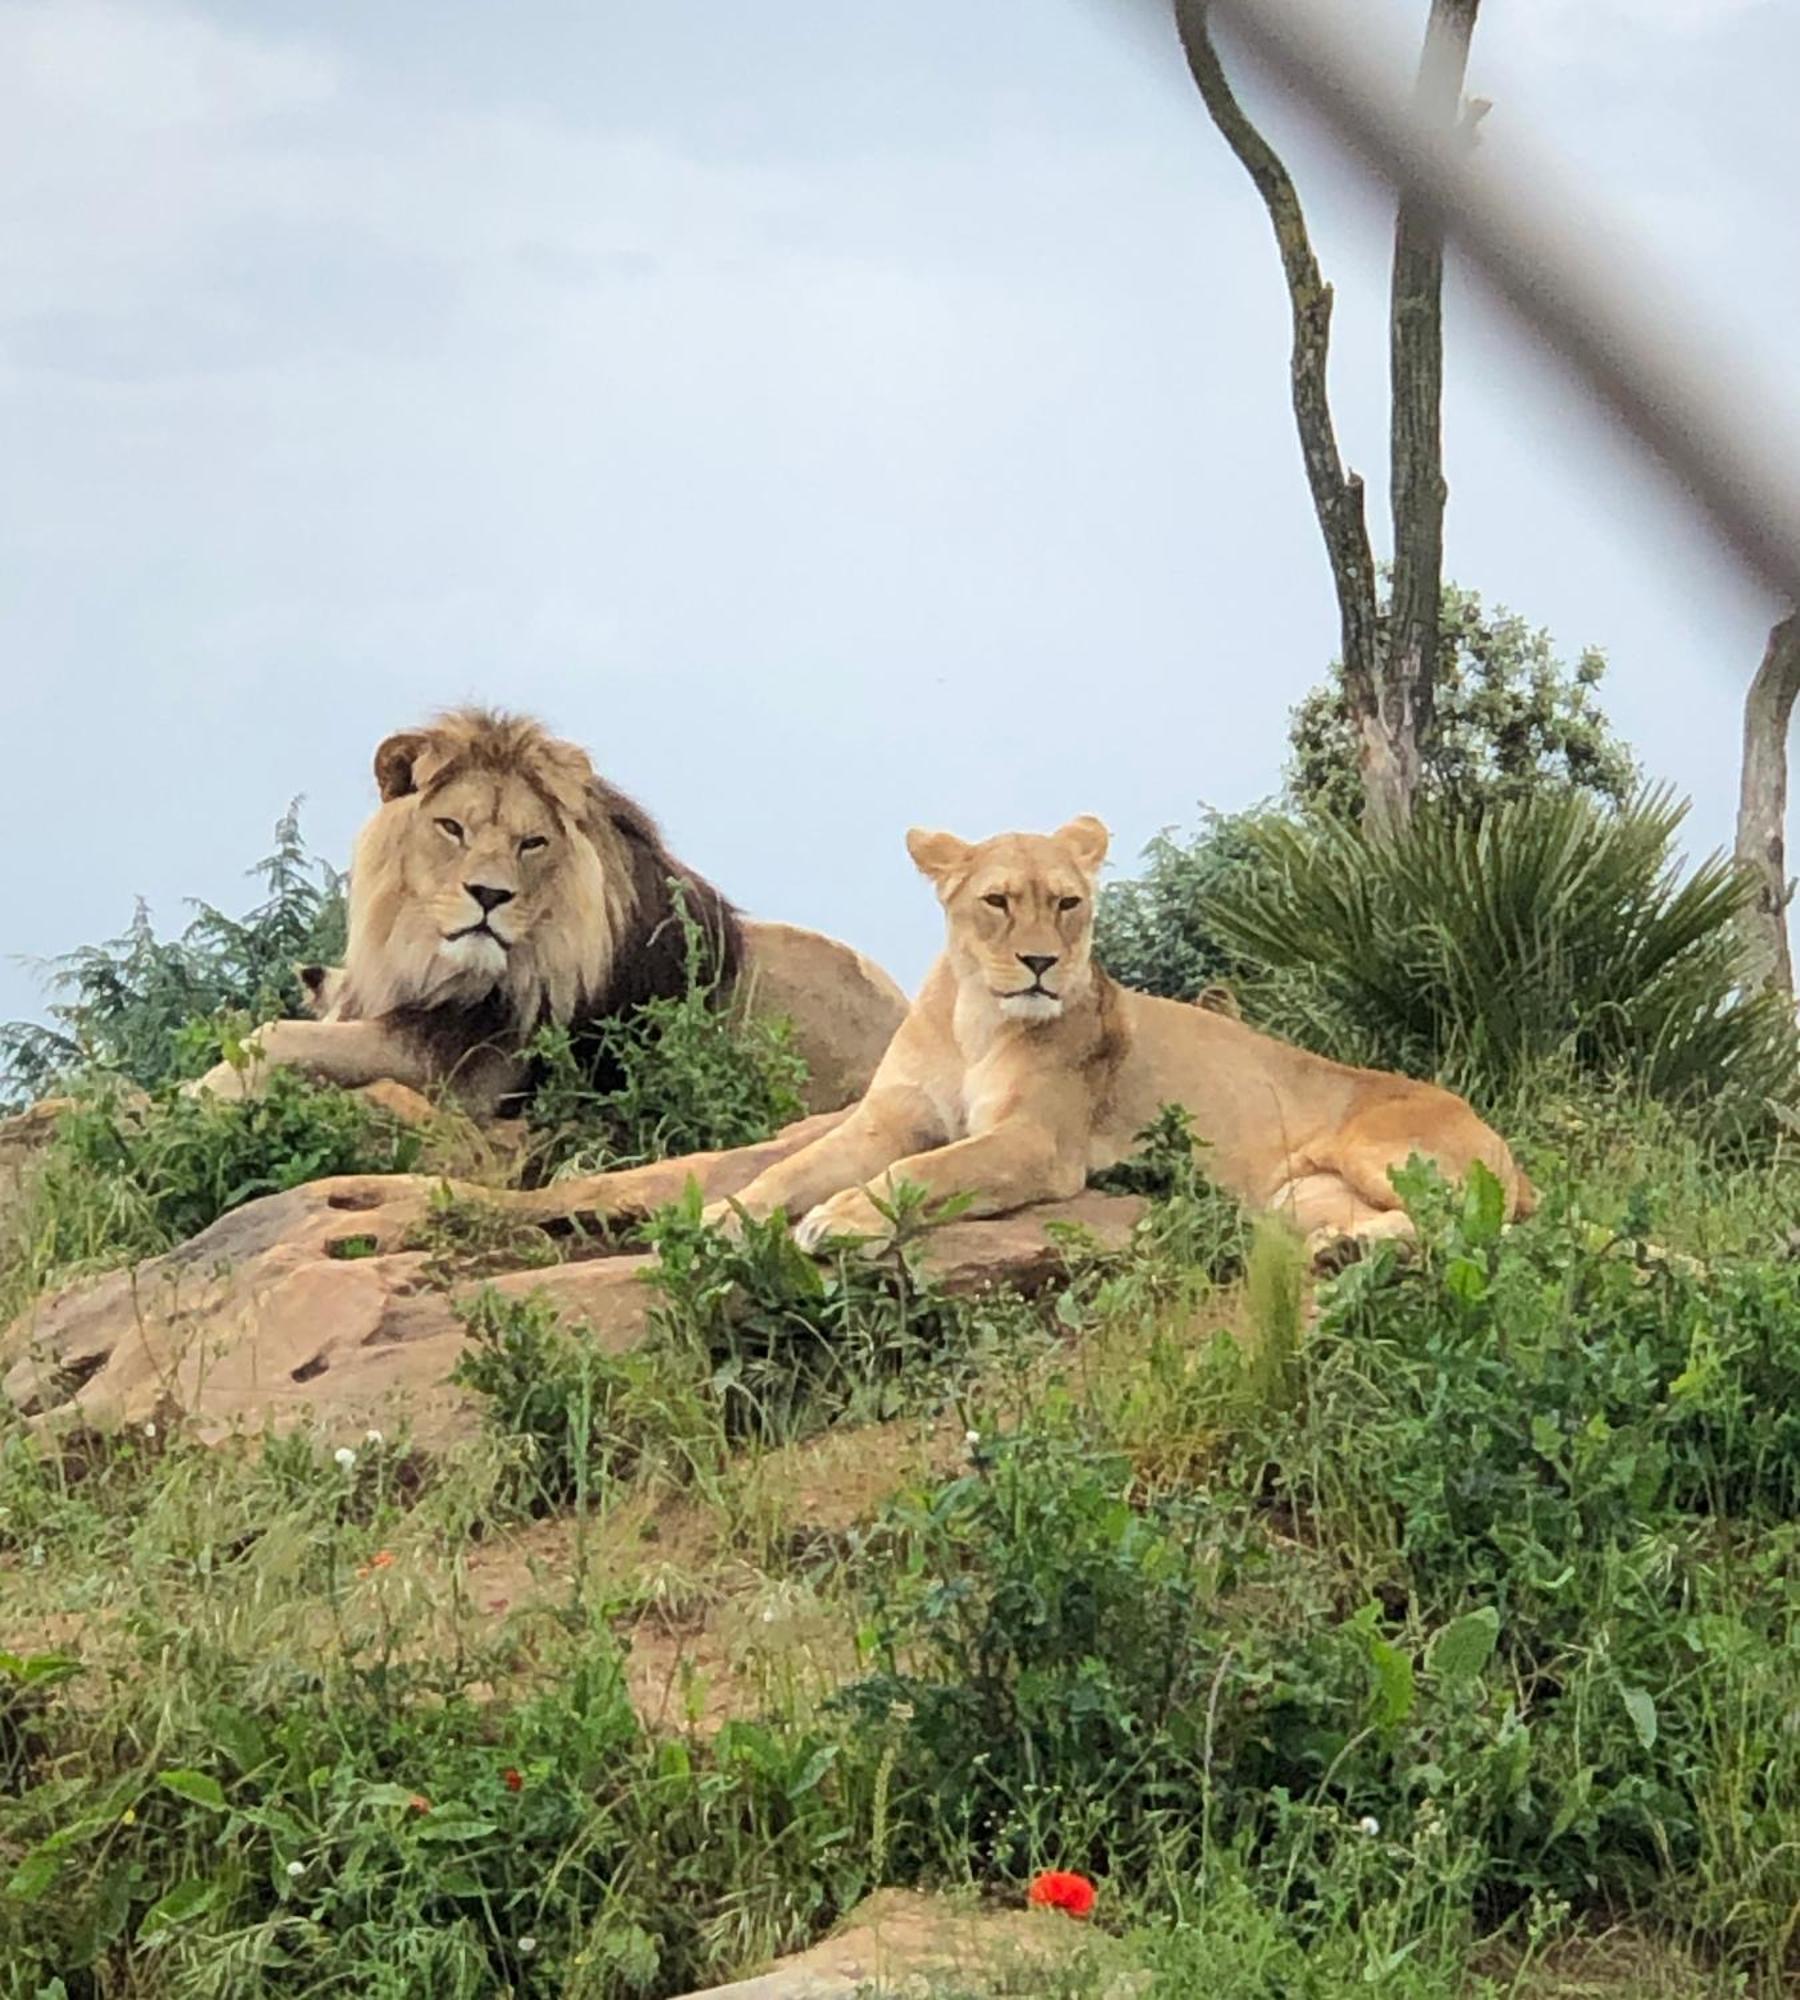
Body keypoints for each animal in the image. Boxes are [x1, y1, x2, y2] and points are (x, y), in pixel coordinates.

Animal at [190, 712, 908, 1120]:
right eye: (452, 828)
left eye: (530, 843)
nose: (489, 896)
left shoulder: (461, 1071)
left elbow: (283, 1035)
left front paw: (200, 1091)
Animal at [712, 808, 1528, 1248]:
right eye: (998, 902)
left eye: (1068, 903)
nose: (1041, 963)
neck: (977, 1017)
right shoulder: (887, 1120)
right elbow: (787, 1168)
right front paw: (722, 1218)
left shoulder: (1038, 1144)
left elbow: (923, 1172)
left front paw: (839, 1218)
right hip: (1296, 1197)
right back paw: (1341, 1250)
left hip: (1384, 1151)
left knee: (1481, 1225)